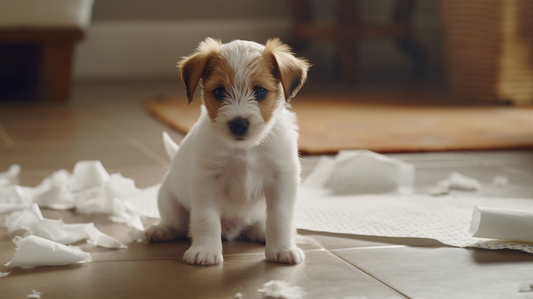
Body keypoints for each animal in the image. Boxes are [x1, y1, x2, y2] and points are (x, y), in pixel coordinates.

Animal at [145, 38, 310, 268]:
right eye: (219, 91)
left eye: (260, 91)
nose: (238, 124)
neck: (245, 149)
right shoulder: (206, 181)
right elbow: (206, 218)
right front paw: (205, 251)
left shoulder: (282, 179)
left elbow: (280, 217)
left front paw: (282, 249)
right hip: (169, 202)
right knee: (176, 224)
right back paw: (161, 230)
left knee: (256, 225)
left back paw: (262, 232)